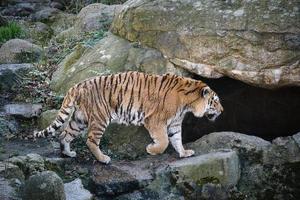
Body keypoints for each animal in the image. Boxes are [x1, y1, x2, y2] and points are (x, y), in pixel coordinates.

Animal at [34, 71, 224, 163]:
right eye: (215, 102)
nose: (222, 111)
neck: (188, 104)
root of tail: (76, 86)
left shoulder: (175, 123)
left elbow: (177, 139)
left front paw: (184, 153)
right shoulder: (155, 120)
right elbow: (164, 141)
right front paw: (151, 150)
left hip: (79, 119)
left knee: (64, 134)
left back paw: (68, 153)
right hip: (100, 118)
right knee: (90, 140)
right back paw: (103, 159)